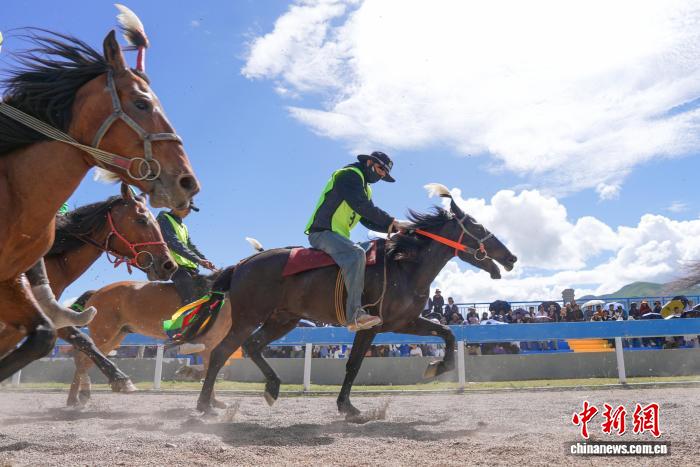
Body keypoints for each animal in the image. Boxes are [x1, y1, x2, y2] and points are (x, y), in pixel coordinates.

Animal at [194, 183, 517, 416]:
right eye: (478, 228)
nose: (511, 257)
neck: (404, 265)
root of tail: (242, 264)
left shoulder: (405, 322)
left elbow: (447, 333)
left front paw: (436, 367)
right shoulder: (371, 327)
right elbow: (354, 365)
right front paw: (347, 407)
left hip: (282, 320)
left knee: (251, 346)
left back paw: (270, 388)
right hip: (248, 318)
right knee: (221, 352)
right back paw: (205, 405)